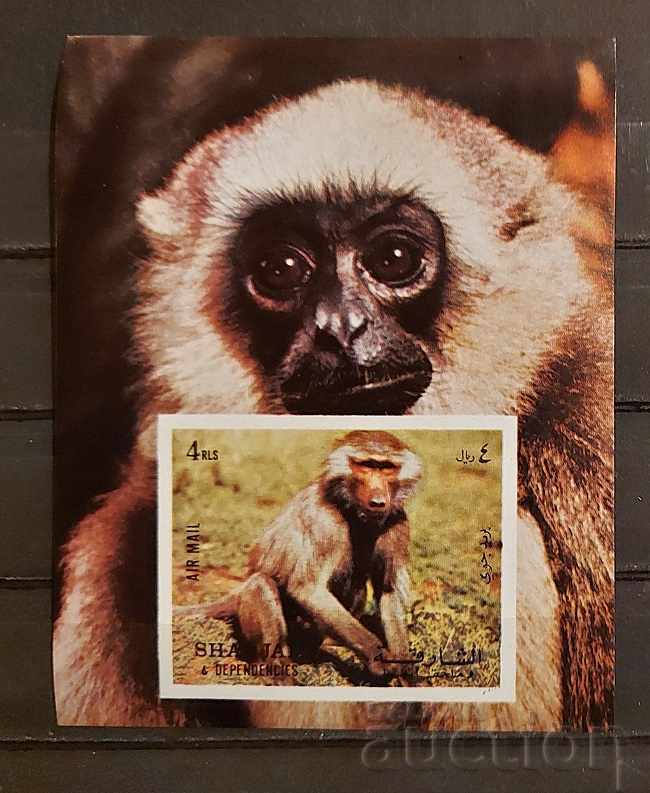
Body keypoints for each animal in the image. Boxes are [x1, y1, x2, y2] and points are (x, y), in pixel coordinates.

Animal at [176, 431, 421, 681]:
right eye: (366, 465)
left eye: (387, 468)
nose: (378, 501)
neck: (349, 508)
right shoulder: (323, 518)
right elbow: (308, 589)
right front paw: (375, 655)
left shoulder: (397, 521)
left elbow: (388, 592)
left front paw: (404, 669)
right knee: (261, 583)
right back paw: (275, 667)